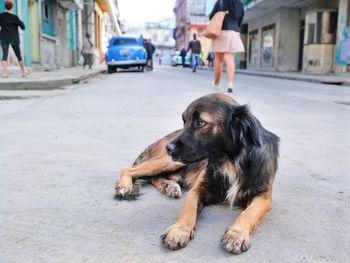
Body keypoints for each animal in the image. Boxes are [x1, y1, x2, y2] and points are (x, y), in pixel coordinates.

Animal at [115, 94, 278, 255]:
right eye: (184, 120)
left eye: (200, 123)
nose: (169, 148)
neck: (230, 162)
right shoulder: (197, 190)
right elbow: (189, 209)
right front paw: (178, 231)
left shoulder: (263, 197)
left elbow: (249, 213)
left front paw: (236, 234)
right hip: (173, 162)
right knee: (130, 170)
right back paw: (125, 186)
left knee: (154, 177)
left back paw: (169, 186)